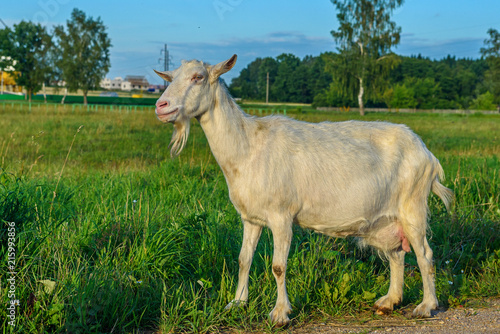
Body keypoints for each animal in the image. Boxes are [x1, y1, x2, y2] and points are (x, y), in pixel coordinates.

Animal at [152, 54, 454, 326]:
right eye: (171, 77)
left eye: (198, 77)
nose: (161, 106)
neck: (247, 146)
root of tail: (427, 153)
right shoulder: (250, 217)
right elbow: (243, 259)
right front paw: (237, 303)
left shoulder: (281, 215)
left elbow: (278, 266)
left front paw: (280, 314)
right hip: (386, 219)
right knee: (397, 254)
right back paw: (389, 301)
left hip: (413, 206)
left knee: (425, 256)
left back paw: (426, 306)